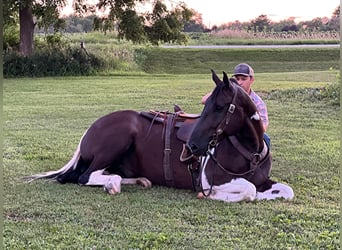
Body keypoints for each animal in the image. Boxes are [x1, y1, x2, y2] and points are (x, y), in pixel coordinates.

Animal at [26, 69, 294, 202]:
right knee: (85, 176)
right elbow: (249, 191)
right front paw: (214, 196)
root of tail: (90, 130)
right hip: (116, 142)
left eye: (219, 107)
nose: (193, 146)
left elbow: (285, 192)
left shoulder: (264, 180)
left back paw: (138, 181)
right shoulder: (211, 179)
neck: (249, 151)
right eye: (206, 104)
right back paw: (113, 185)